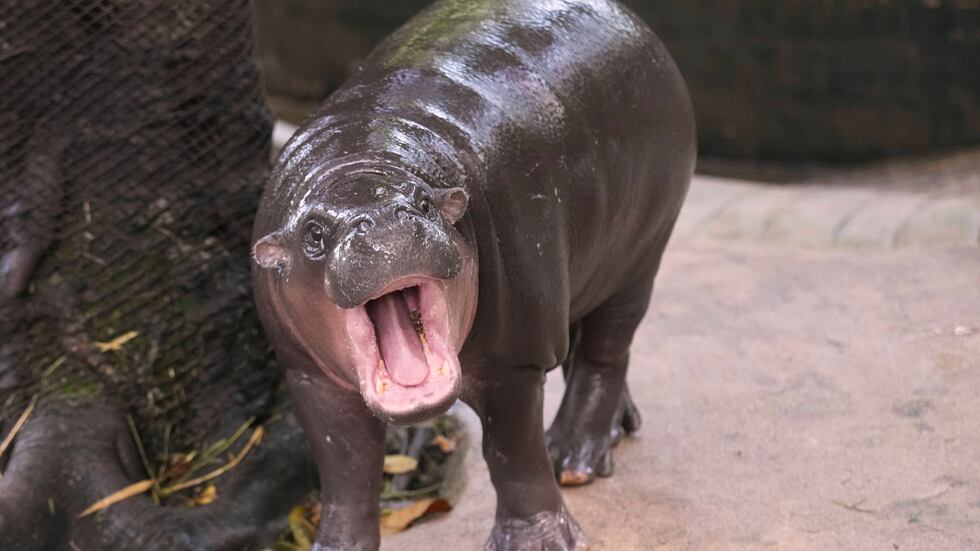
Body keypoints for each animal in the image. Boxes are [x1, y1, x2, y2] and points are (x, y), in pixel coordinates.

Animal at [251, 0, 695, 549]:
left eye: (424, 202)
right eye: (313, 234)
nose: (385, 220)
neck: (360, 156)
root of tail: (630, 20)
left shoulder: (515, 360)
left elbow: (512, 454)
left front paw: (537, 540)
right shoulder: (309, 378)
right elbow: (346, 472)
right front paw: (334, 545)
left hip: (641, 252)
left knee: (606, 351)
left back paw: (574, 459)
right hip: (580, 267)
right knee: (584, 336)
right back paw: (614, 430)